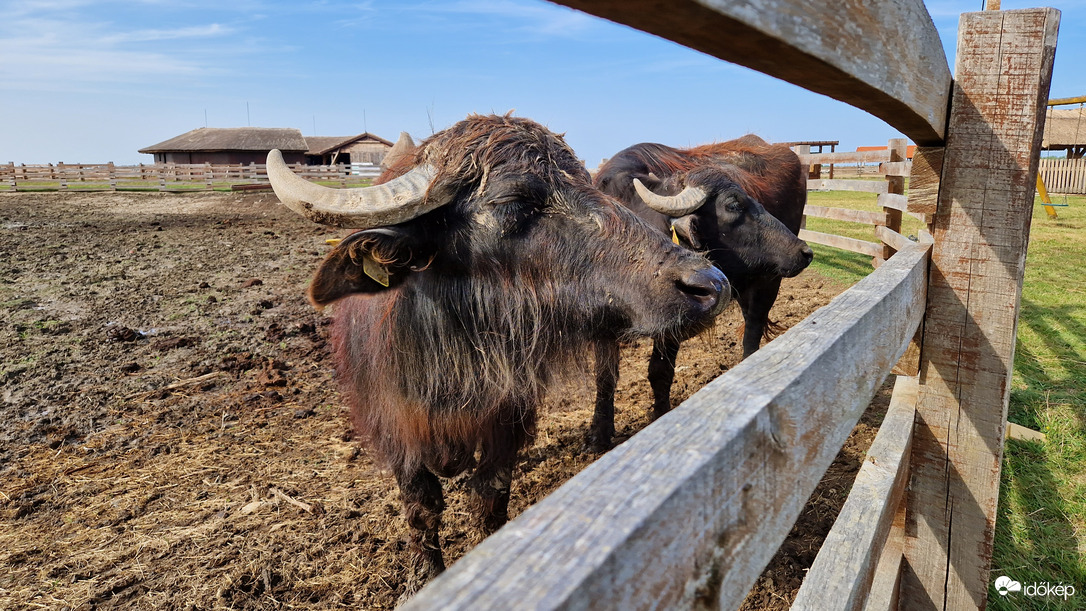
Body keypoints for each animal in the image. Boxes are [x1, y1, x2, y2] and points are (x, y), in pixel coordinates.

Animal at [264, 115, 729, 599]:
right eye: (515, 201)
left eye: (587, 183)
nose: (710, 284)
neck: (453, 357)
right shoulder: (396, 429)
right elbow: (422, 510)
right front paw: (424, 578)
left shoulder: (506, 422)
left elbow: (490, 499)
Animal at [586, 135, 816, 449]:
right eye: (733, 205)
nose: (804, 252)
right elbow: (605, 375)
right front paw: (599, 433)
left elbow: (660, 372)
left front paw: (660, 417)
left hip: (769, 282)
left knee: (752, 333)